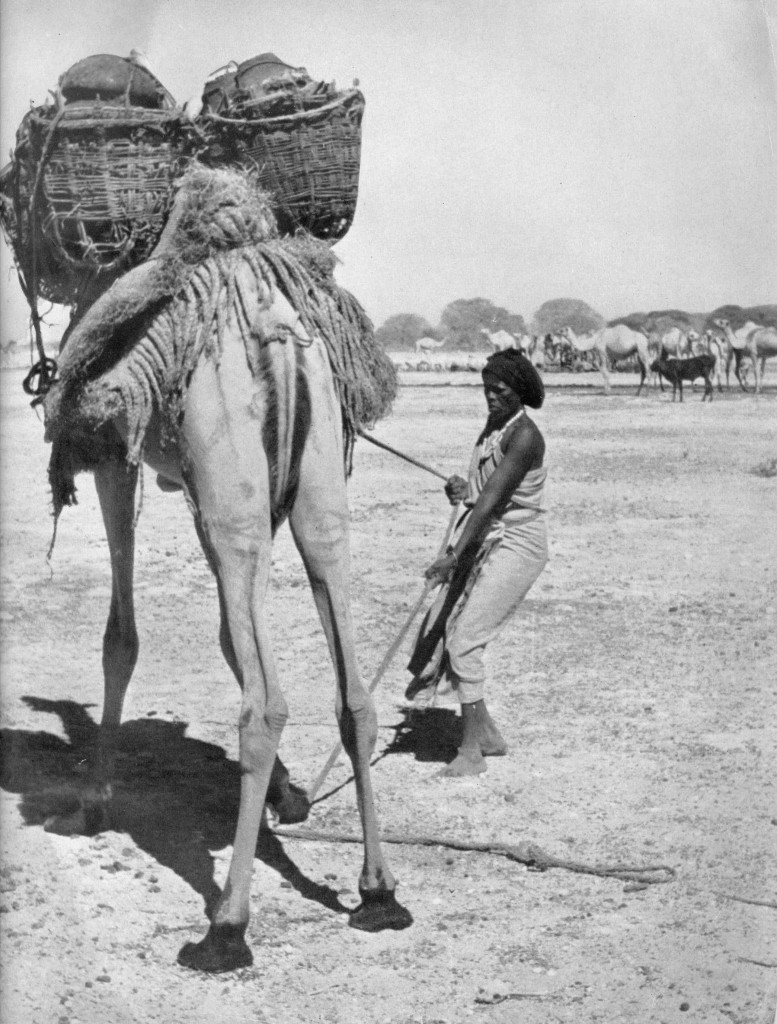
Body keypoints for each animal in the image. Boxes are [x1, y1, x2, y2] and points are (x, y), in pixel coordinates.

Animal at [40, 165, 413, 966]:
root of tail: (277, 333)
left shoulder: (118, 452)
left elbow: (121, 638)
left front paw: (94, 801)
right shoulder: (200, 488)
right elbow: (227, 639)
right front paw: (288, 796)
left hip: (231, 488)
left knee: (265, 706)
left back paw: (227, 927)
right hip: (310, 494)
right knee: (353, 691)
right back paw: (378, 892)